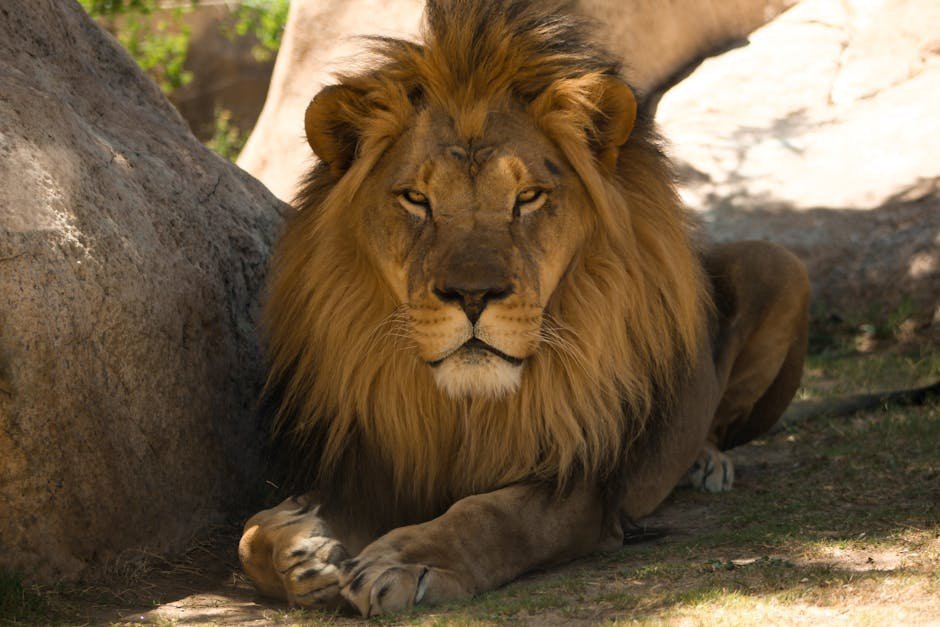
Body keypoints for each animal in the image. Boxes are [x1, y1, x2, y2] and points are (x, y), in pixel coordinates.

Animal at [238, 0, 810, 616]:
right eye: (416, 199)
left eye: (528, 197)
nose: (472, 296)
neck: (464, 409)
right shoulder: (375, 469)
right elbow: (250, 537)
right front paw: (302, 550)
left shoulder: (578, 486)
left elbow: (489, 517)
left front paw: (408, 561)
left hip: (780, 265)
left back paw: (707, 461)